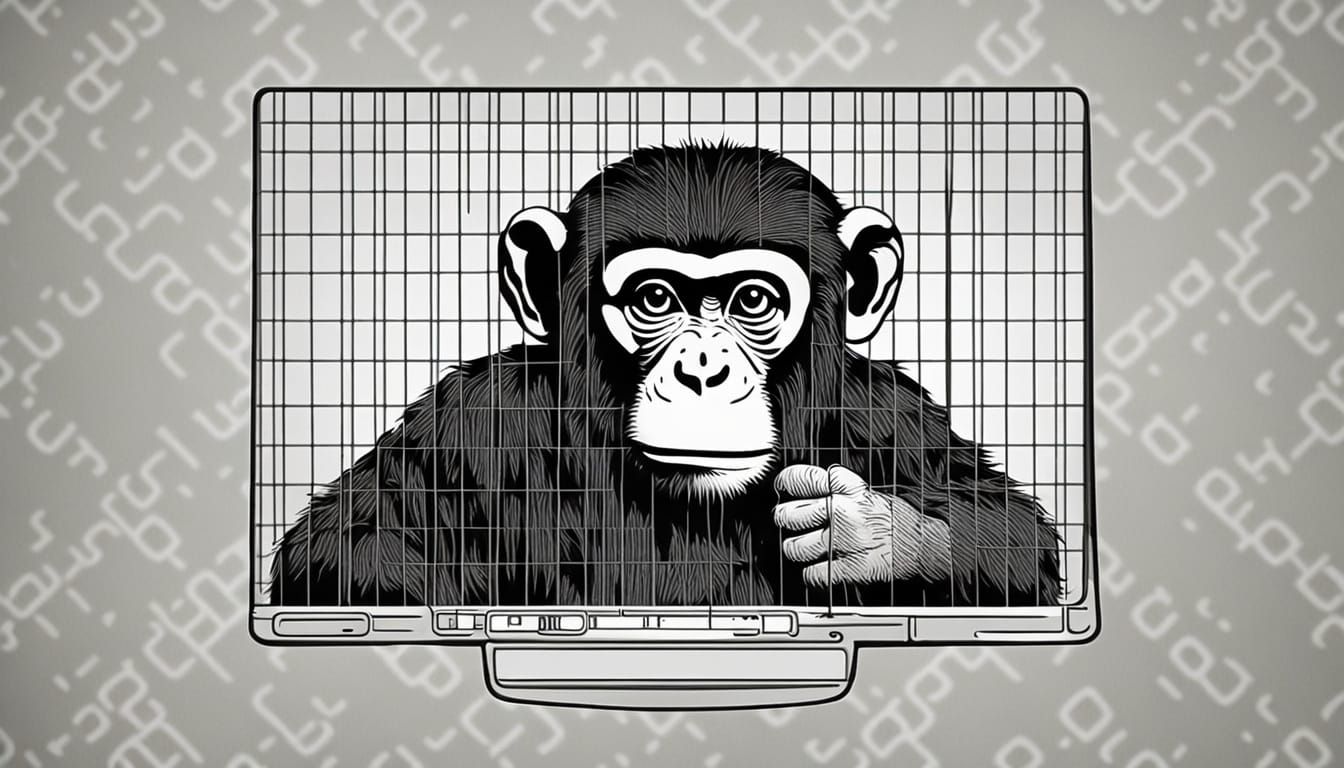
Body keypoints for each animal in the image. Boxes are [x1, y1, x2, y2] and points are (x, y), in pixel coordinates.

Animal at [269, 141, 1060, 609]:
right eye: (655, 299)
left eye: (752, 301)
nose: (703, 370)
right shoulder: (469, 421)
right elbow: (349, 545)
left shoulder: (886, 412)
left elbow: (1010, 529)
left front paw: (867, 536)